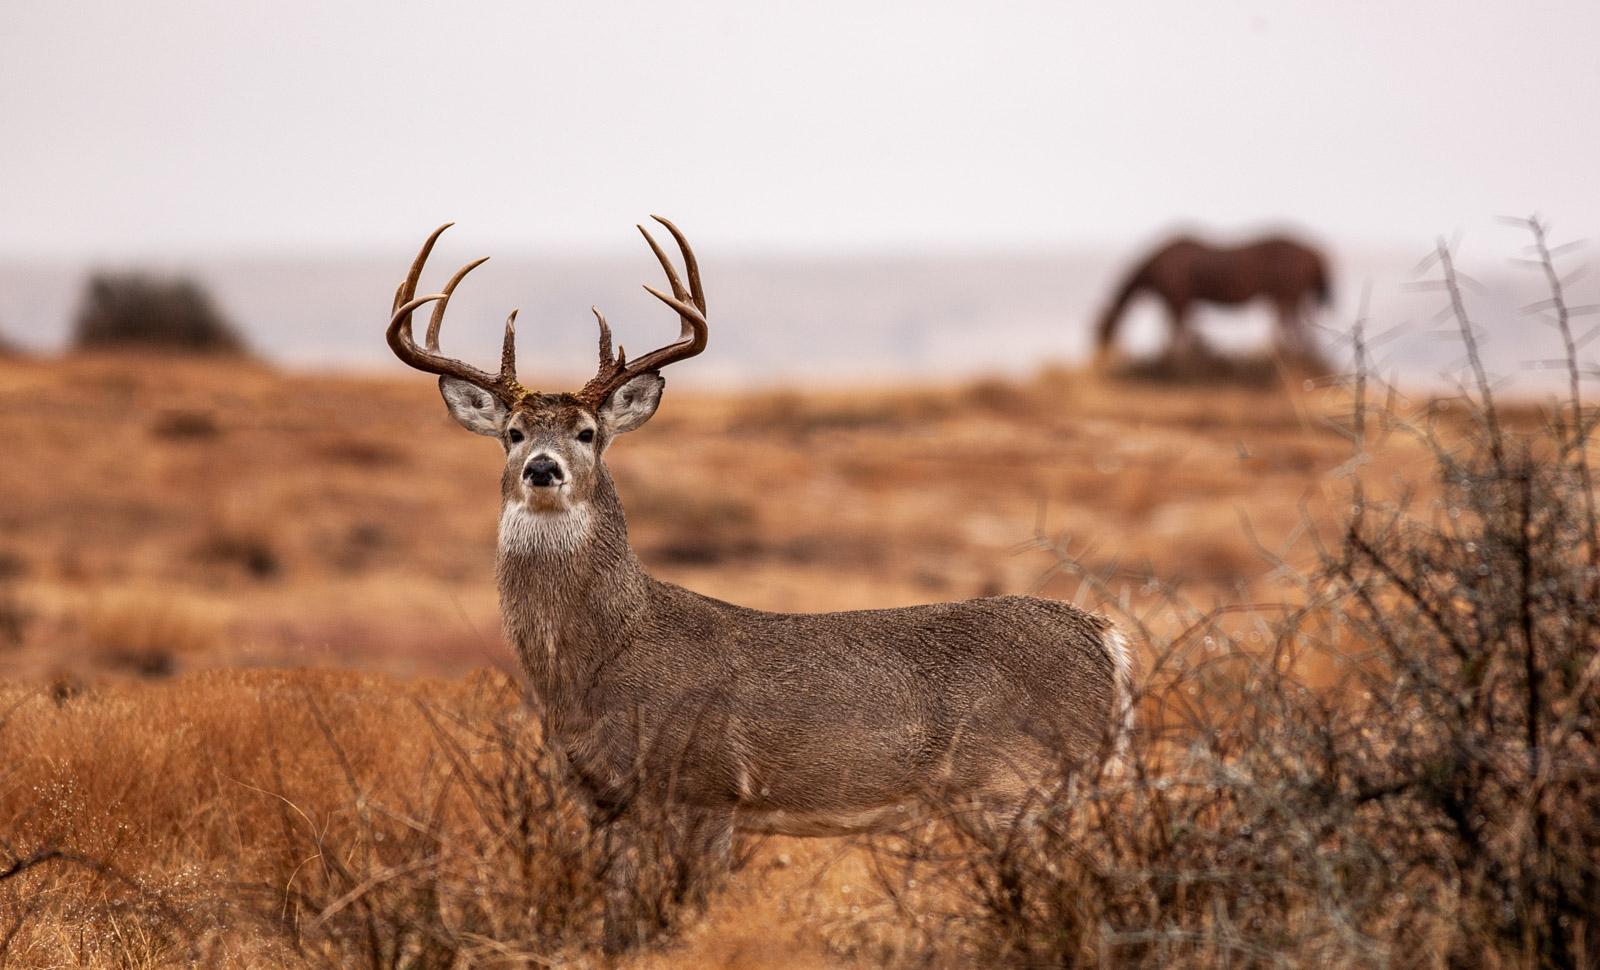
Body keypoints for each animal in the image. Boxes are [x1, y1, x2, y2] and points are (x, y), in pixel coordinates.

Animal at [1094, 235, 1331, 361]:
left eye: (1101, 327)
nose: (1100, 354)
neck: (1154, 267)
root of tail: (1315, 254)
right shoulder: (1184, 302)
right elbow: (1180, 331)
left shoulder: (1177, 299)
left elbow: (1174, 332)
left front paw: (1174, 358)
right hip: (1290, 295)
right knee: (1298, 322)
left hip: (1286, 294)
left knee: (1289, 323)